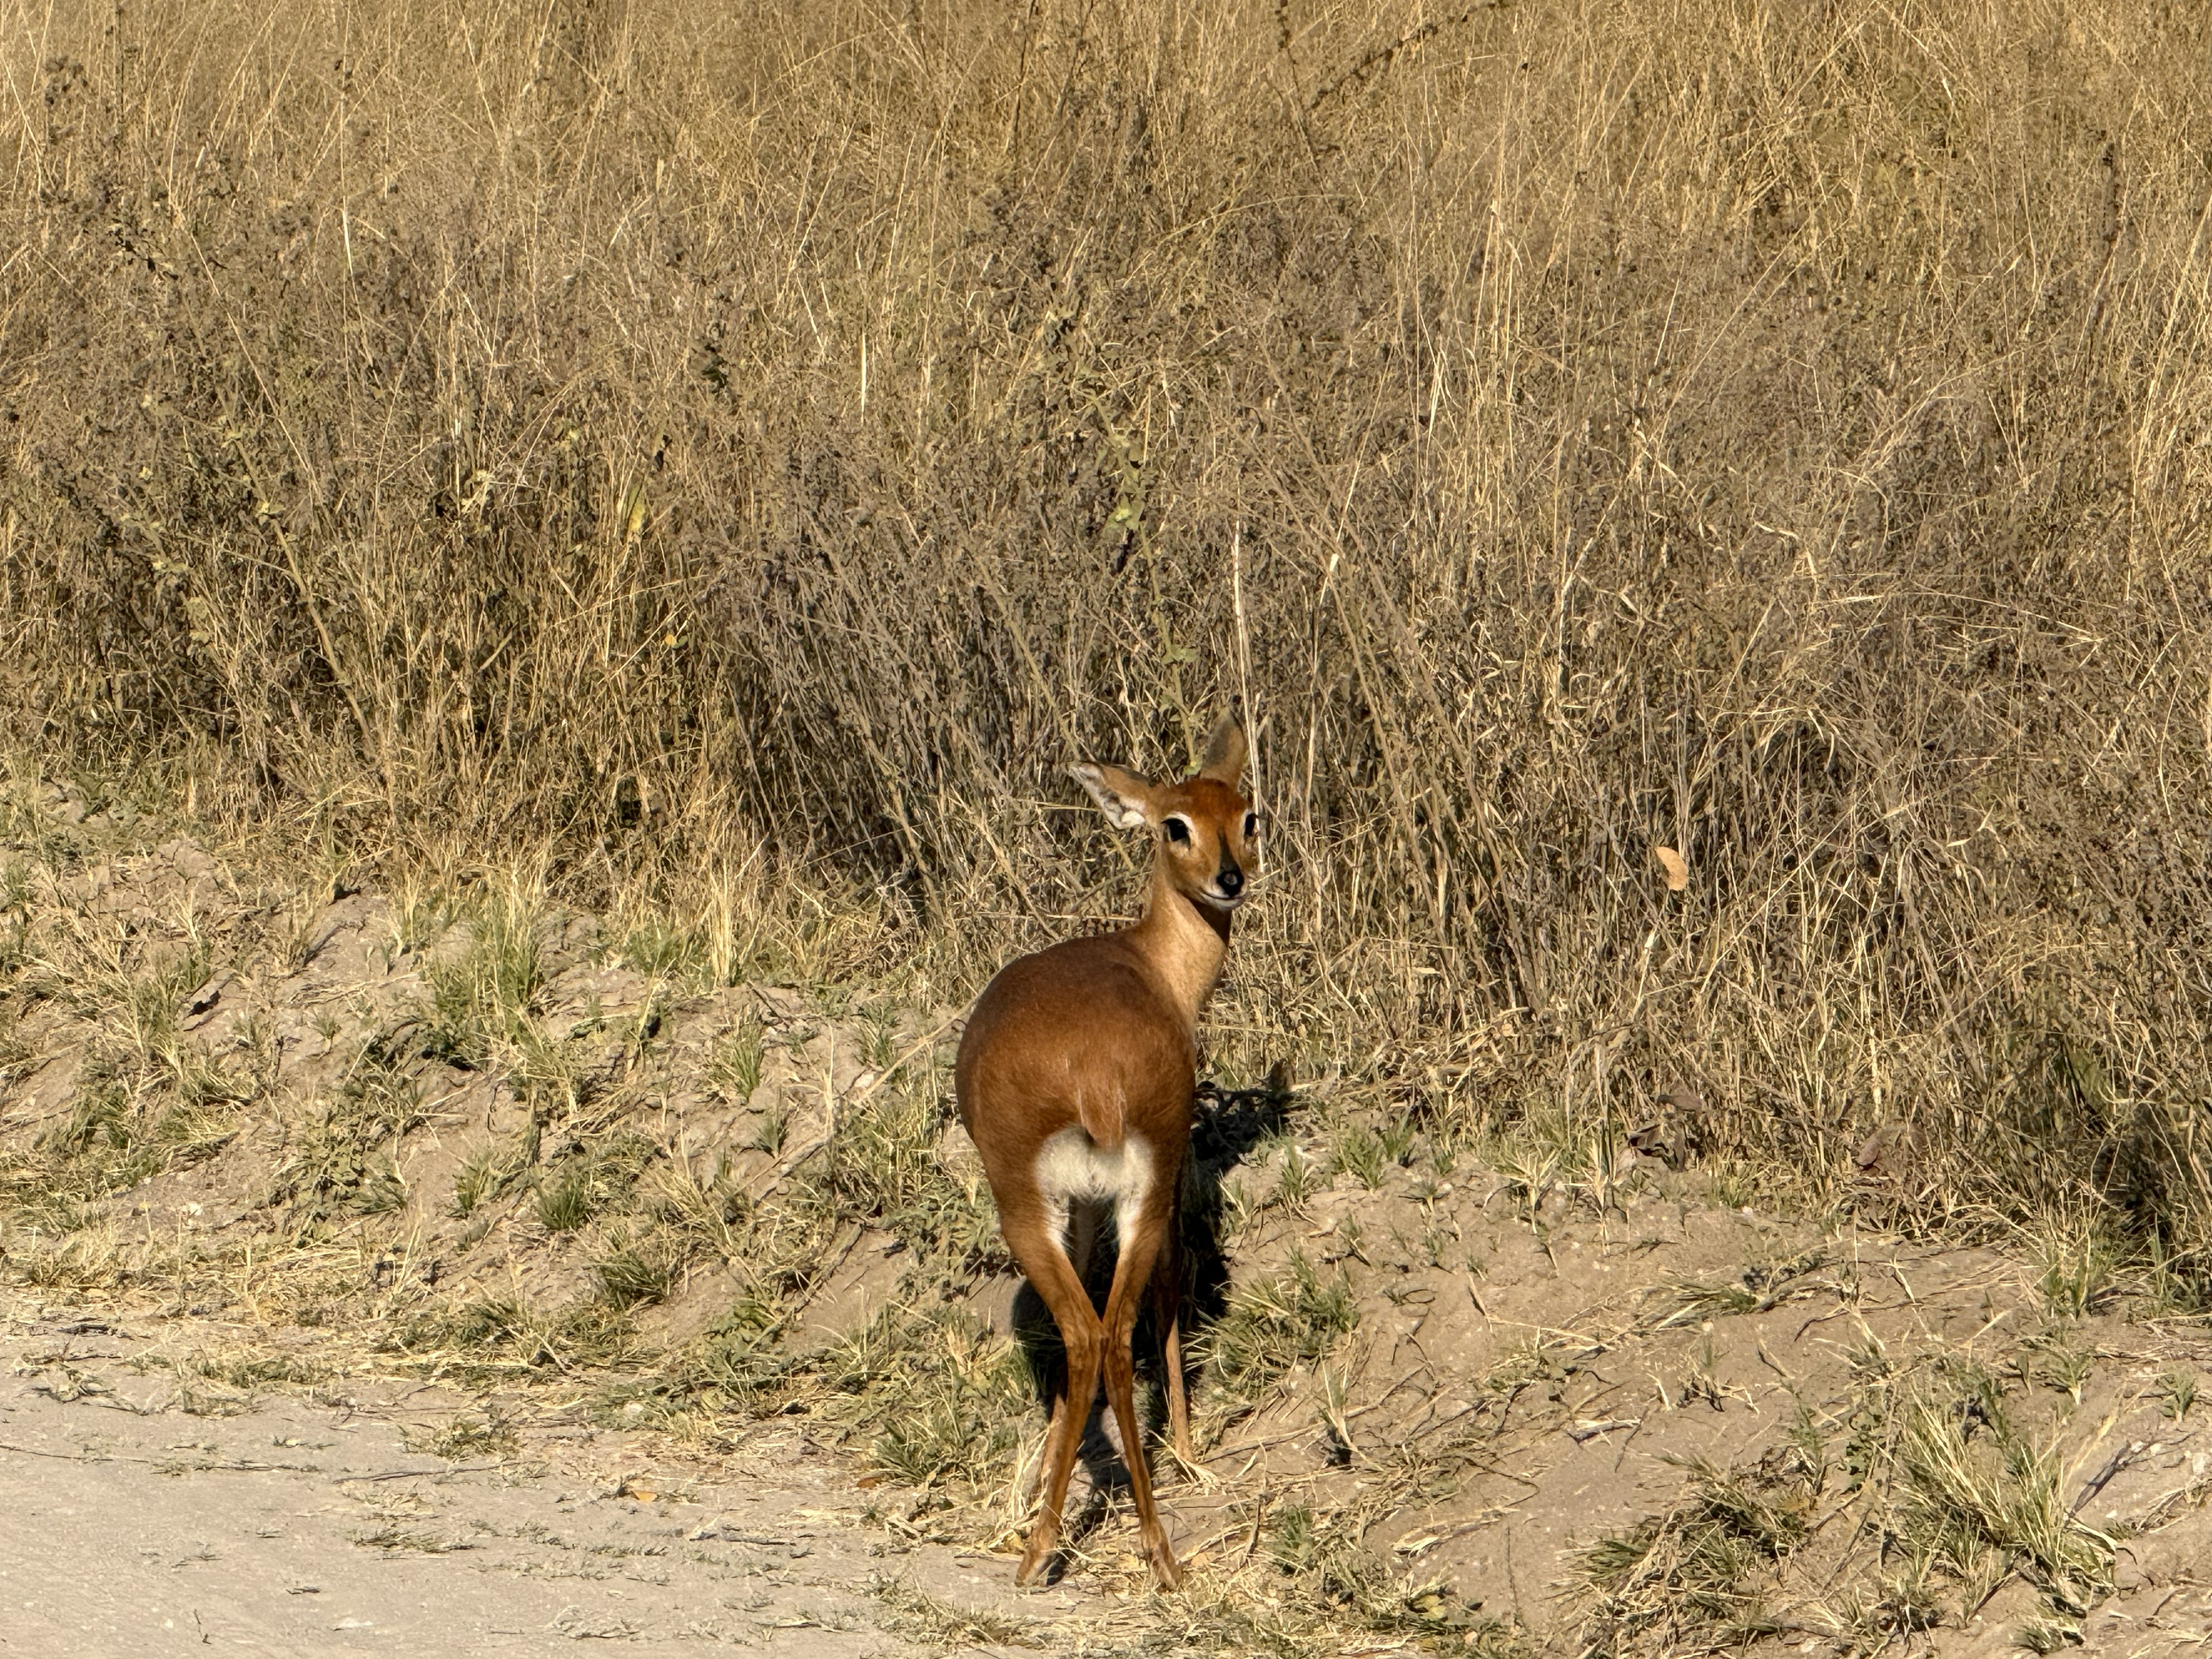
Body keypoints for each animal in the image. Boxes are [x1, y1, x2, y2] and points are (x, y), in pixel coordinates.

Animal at [955, 714, 1257, 1590]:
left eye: (1247, 815)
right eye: (1175, 823)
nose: (1230, 879)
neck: (1152, 966)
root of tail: (1093, 1078)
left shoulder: (1084, 1208)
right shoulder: (1119, 1202)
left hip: (1043, 1210)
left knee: (1095, 1334)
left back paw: (1054, 1548)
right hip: (1128, 1201)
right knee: (1113, 1333)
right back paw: (1140, 1551)